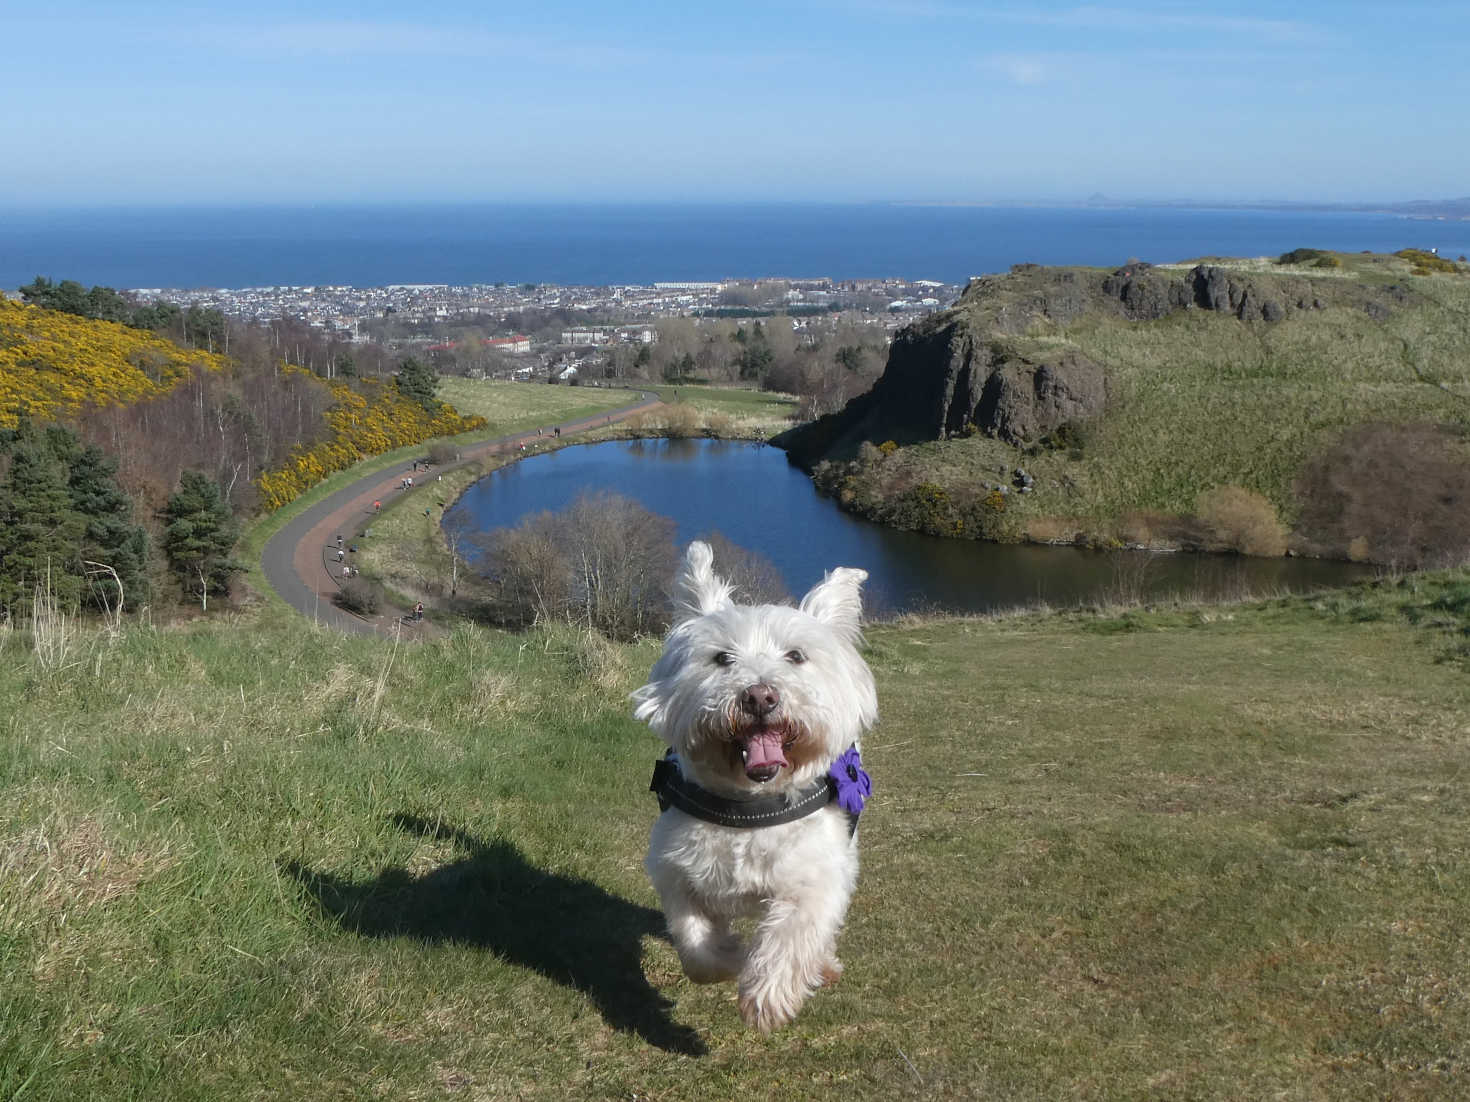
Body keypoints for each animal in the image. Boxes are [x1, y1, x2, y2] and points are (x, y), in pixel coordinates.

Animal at [635, 543, 876, 1034]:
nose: (760, 696)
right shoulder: (675, 869)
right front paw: (733, 959)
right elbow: (696, 944)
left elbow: (793, 934)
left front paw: (766, 996)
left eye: (796, 656)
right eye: (722, 658)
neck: (750, 809)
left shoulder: (815, 876)